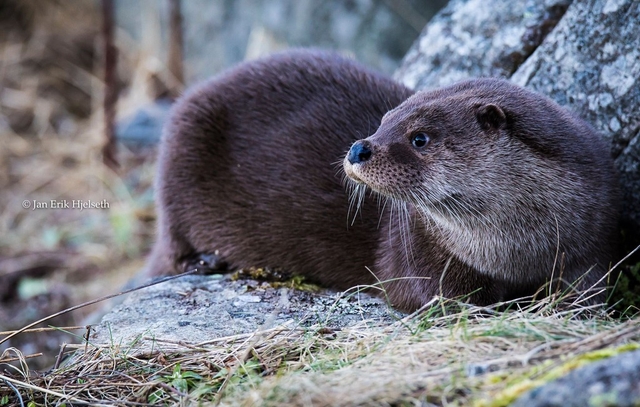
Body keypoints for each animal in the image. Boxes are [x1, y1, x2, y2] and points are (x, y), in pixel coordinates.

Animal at [146, 50, 620, 312]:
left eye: (420, 137)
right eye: (384, 120)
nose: (359, 148)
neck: (519, 250)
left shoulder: (593, 238)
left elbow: (590, 290)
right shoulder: (417, 255)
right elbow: (430, 297)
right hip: (180, 152)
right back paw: (206, 261)